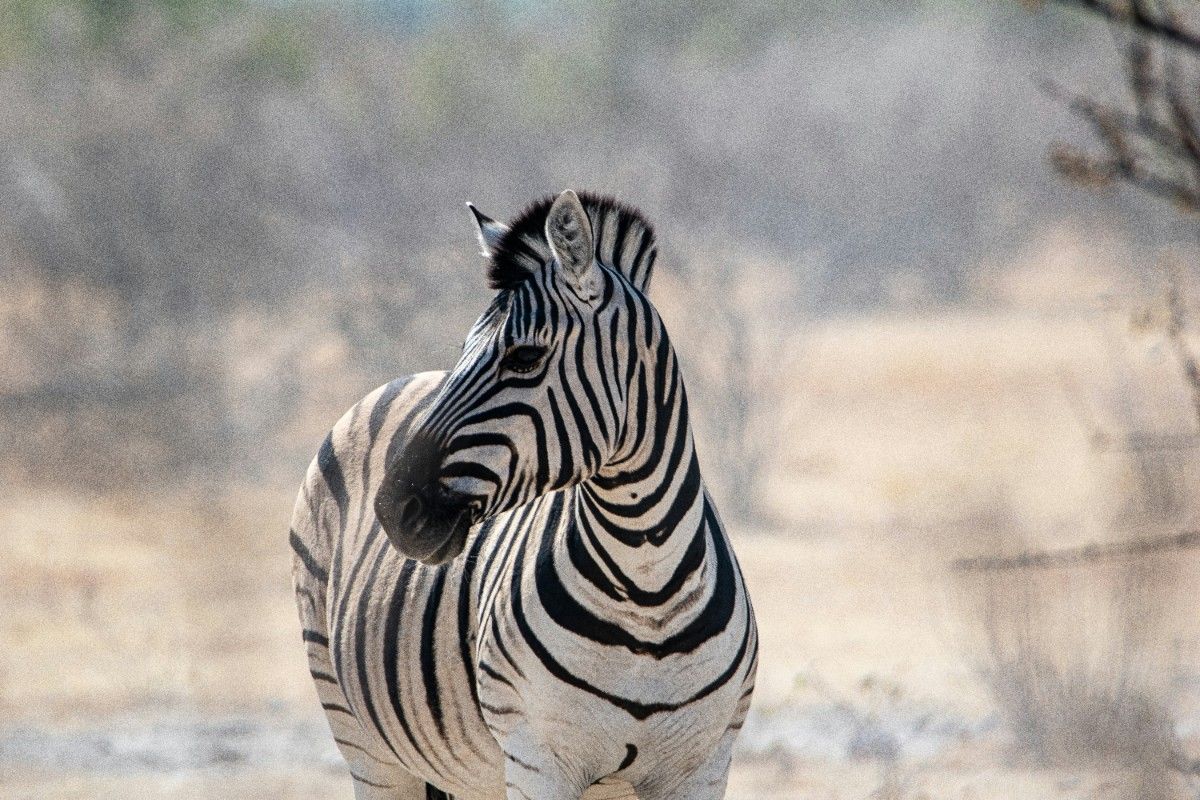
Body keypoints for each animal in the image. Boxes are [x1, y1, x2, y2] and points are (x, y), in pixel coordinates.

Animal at [290, 190, 753, 796]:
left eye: (525, 357)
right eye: (463, 350)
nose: (392, 509)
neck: (647, 587)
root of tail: (400, 380)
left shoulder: (703, 767)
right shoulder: (538, 759)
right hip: (364, 743)